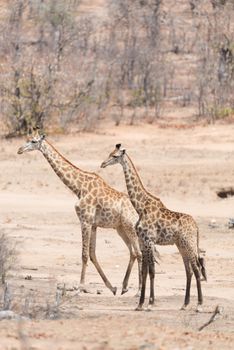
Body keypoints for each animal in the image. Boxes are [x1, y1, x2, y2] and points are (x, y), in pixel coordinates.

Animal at [16, 131, 143, 296]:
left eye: (33, 141)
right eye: (28, 138)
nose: (19, 150)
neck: (78, 187)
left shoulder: (85, 221)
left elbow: (84, 255)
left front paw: (80, 287)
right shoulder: (93, 224)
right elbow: (92, 254)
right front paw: (111, 287)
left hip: (130, 227)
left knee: (139, 253)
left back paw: (138, 291)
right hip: (121, 229)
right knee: (133, 252)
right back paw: (124, 287)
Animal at [100, 144, 207, 310]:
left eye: (115, 156)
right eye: (110, 153)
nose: (103, 164)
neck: (140, 207)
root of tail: (196, 227)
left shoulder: (149, 241)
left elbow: (152, 271)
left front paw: (149, 303)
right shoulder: (143, 242)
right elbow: (145, 271)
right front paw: (140, 304)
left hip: (189, 244)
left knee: (196, 270)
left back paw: (199, 305)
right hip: (181, 246)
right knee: (189, 271)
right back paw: (185, 304)